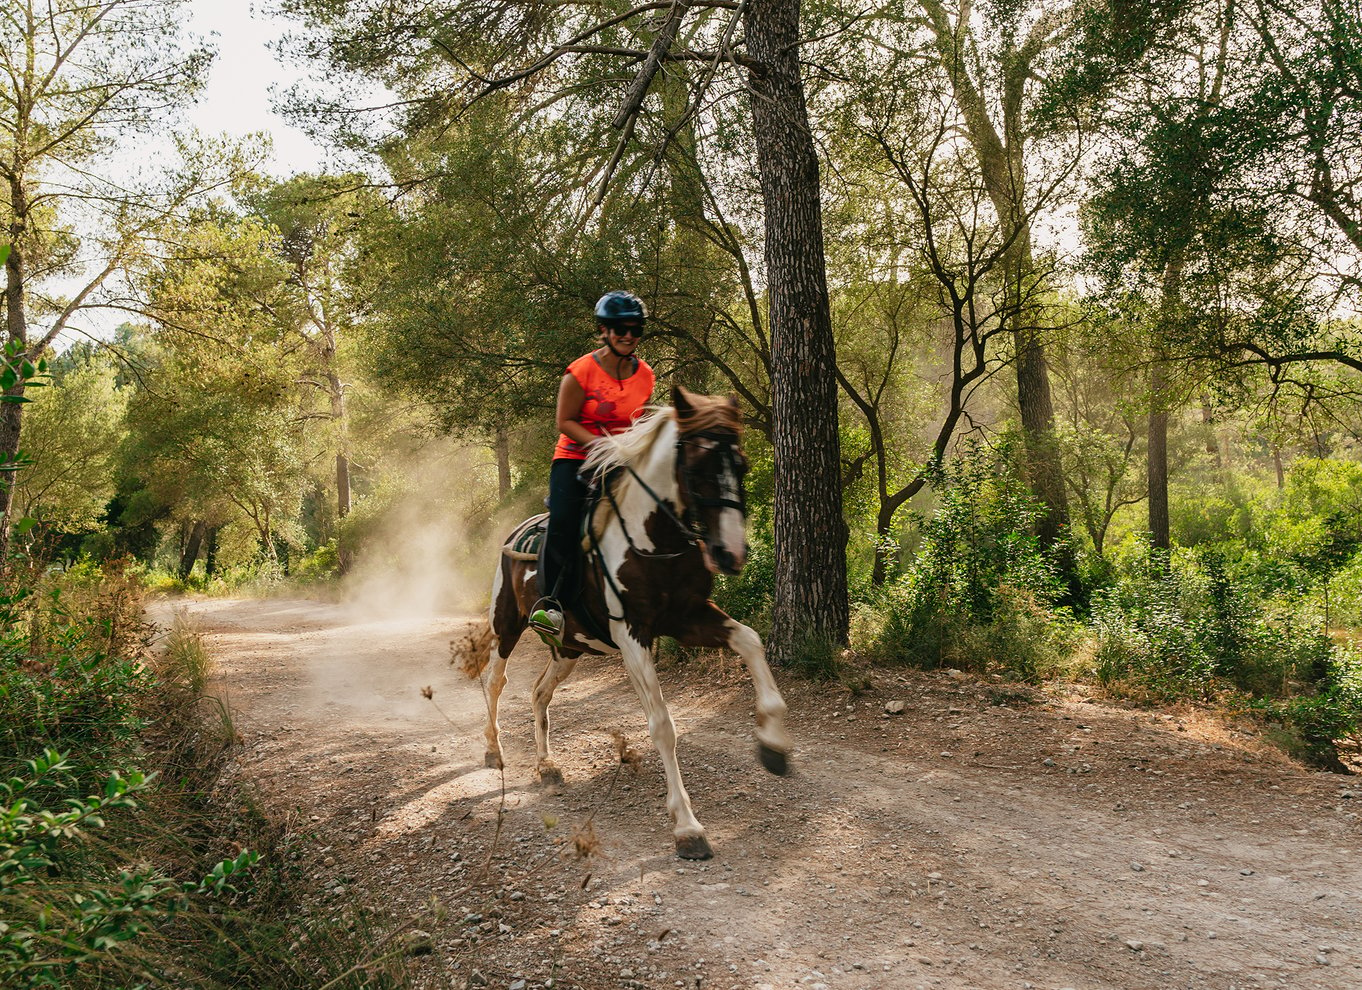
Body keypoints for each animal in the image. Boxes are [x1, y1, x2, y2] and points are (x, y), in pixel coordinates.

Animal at [463, 384, 795, 860]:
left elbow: (751, 641)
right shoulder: (631, 634)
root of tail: (515, 530)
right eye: (697, 466)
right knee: (495, 681)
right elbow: (662, 726)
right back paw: (494, 750)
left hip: (568, 648)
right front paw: (687, 827)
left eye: (741, 464)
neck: (653, 540)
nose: (731, 553)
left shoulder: (689, 618)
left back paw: (547, 766)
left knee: (540, 692)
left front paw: (773, 745)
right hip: (507, 623)